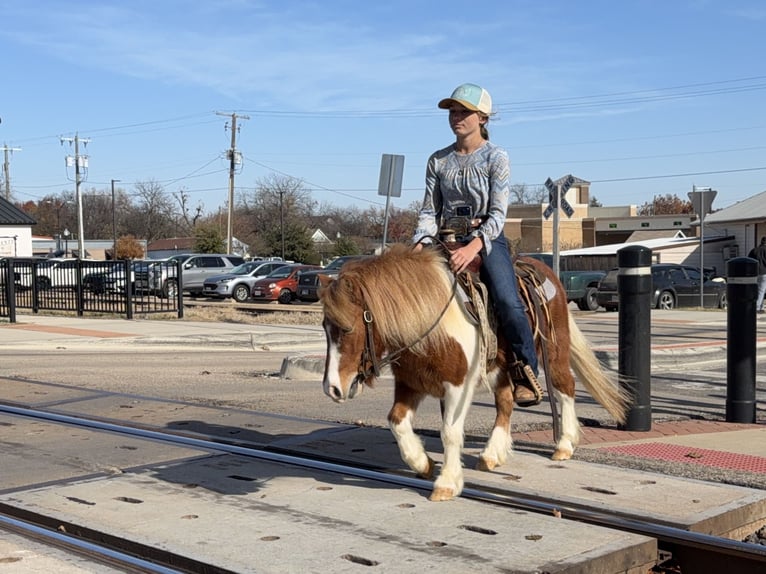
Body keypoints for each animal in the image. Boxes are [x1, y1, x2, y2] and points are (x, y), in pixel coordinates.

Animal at [319, 243, 628, 502]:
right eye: (324, 326)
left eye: (347, 329)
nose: (331, 388)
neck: (432, 324)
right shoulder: (410, 383)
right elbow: (397, 421)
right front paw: (422, 462)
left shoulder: (458, 386)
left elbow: (450, 432)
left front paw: (447, 483)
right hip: (502, 370)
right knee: (505, 404)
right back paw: (492, 454)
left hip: (554, 352)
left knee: (565, 389)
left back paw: (564, 445)